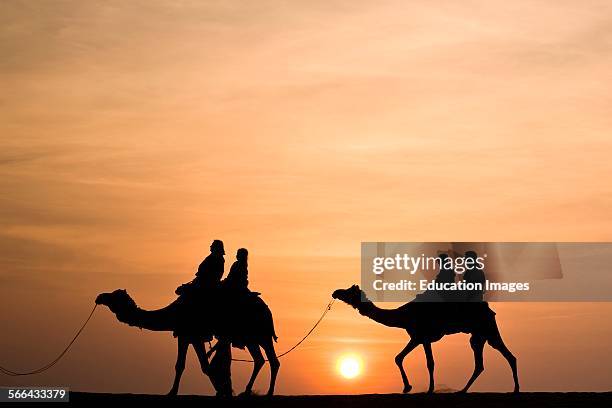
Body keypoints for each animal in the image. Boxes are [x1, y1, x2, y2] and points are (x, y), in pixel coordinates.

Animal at [95, 288, 280, 396]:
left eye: (114, 296)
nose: (99, 296)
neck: (175, 312)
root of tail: (267, 309)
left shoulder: (194, 335)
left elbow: (205, 366)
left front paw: (223, 390)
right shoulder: (185, 336)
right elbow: (181, 364)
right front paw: (172, 391)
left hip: (262, 335)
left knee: (273, 361)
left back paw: (269, 392)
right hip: (250, 338)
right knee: (260, 360)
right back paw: (247, 391)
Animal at [332, 286, 520, 394]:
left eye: (349, 291)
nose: (335, 292)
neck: (403, 316)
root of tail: (489, 310)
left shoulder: (423, 337)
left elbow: (430, 363)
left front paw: (428, 389)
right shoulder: (416, 337)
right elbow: (398, 357)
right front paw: (407, 387)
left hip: (487, 328)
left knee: (505, 356)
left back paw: (514, 389)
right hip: (479, 335)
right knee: (486, 361)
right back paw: (464, 390)